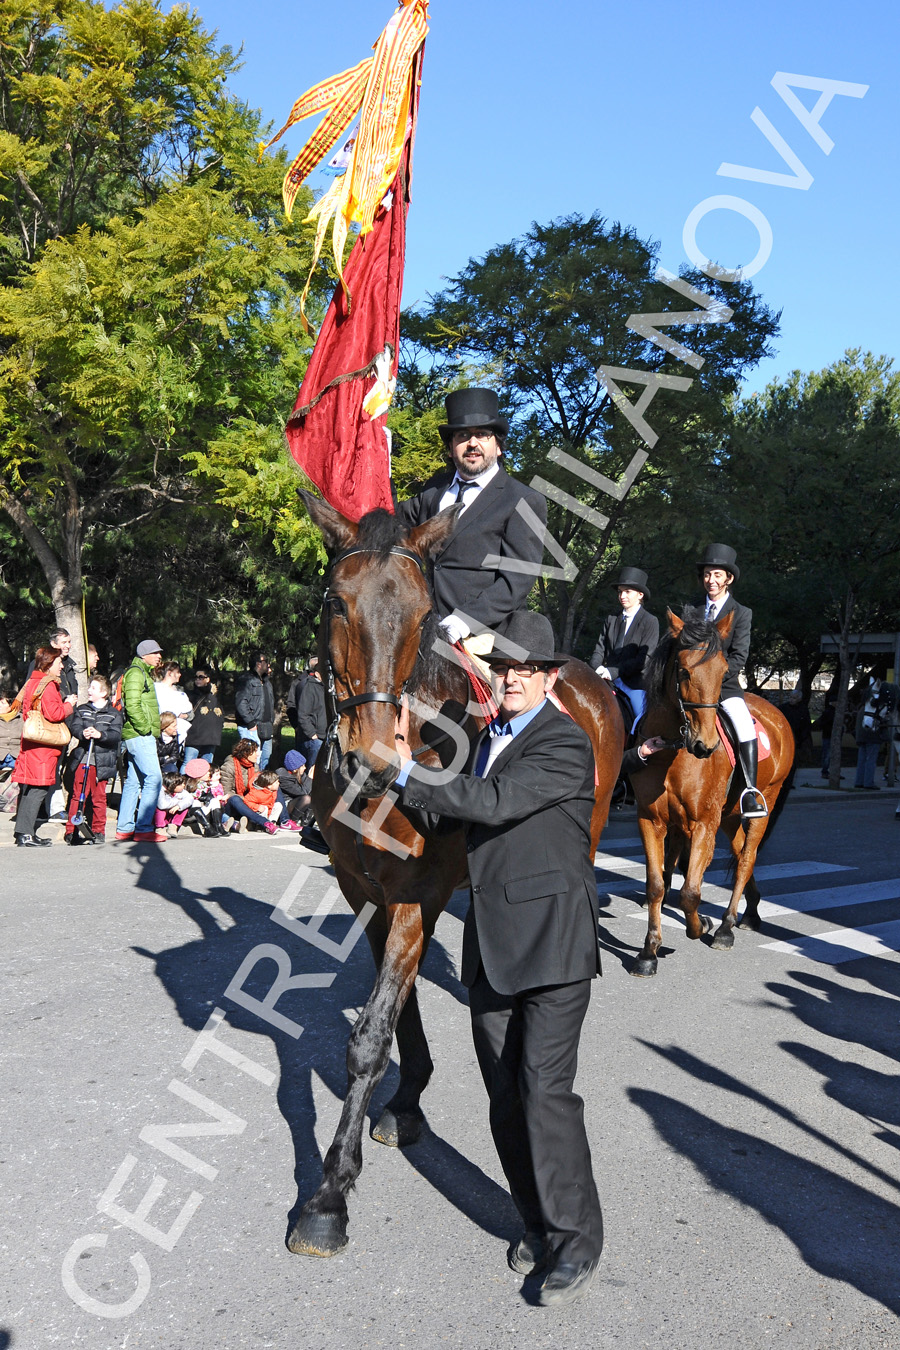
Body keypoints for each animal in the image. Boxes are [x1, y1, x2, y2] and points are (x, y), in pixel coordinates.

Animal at [290, 494, 626, 1252]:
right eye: (335, 601)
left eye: (423, 614)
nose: (371, 758)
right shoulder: (366, 892)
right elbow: (397, 1005)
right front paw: (408, 1101)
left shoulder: (418, 892)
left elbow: (370, 1035)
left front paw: (329, 1196)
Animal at [631, 607, 793, 977]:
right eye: (684, 670)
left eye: (723, 671)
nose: (704, 745)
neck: (671, 750)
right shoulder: (650, 820)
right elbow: (657, 885)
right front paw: (648, 952)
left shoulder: (704, 822)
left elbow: (690, 891)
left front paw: (701, 924)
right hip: (730, 817)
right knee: (740, 851)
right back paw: (751, 911)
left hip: (764, 803)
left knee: (746, 858)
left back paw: (726, 926)